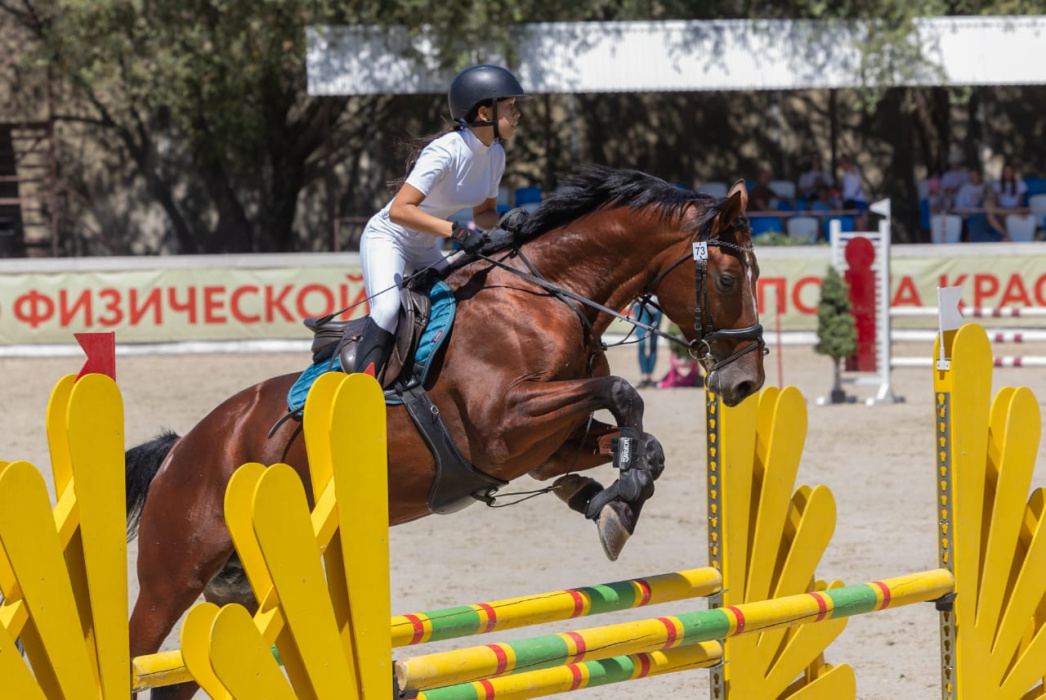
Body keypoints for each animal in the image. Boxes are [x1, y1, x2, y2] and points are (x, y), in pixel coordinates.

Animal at [124, 166, 769, 694]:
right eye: (728, 279)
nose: (746, 383)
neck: (545, 298)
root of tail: (180, 449)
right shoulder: (504, 424)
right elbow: (623, 393)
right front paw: (613, 499)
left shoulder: (549, 446)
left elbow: (638, 441)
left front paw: (608, 501)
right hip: (171, 579)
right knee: (137, 653)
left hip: (240, 591)